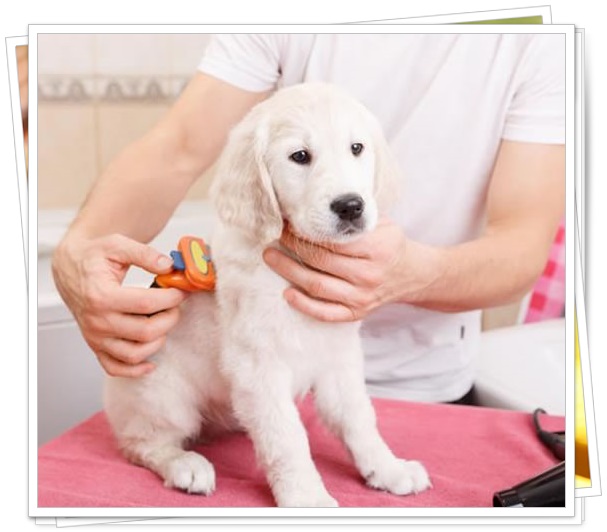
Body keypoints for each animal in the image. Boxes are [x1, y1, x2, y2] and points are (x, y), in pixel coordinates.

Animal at [102, 82, 430, 508]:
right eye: (300, 156)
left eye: (356, 148)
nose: (350, 206)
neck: (295, 261)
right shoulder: (258, 366)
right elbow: (287, 437)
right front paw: (307, 497)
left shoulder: (338, 357)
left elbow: (359, 418)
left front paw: (388, 469)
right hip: (164, 396)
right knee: (139, 443)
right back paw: (185, 465)